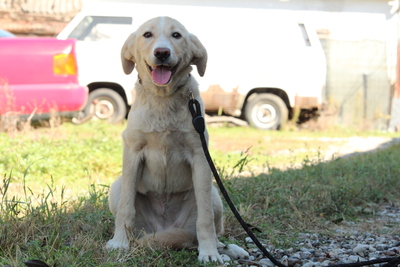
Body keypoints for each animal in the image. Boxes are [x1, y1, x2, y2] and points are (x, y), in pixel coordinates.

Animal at [105, 16, 250, 264]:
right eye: (147, 35)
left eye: (177, 36)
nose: (162, 53)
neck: (163, 98)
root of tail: (165, 228)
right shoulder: (133, 152)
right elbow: (126, 208)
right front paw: (119, 243)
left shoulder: (199, 155)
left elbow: (205, 220)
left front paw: (209, 252)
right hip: (117, 187)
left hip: (215, 195)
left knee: (209, 231)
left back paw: (226, 249)